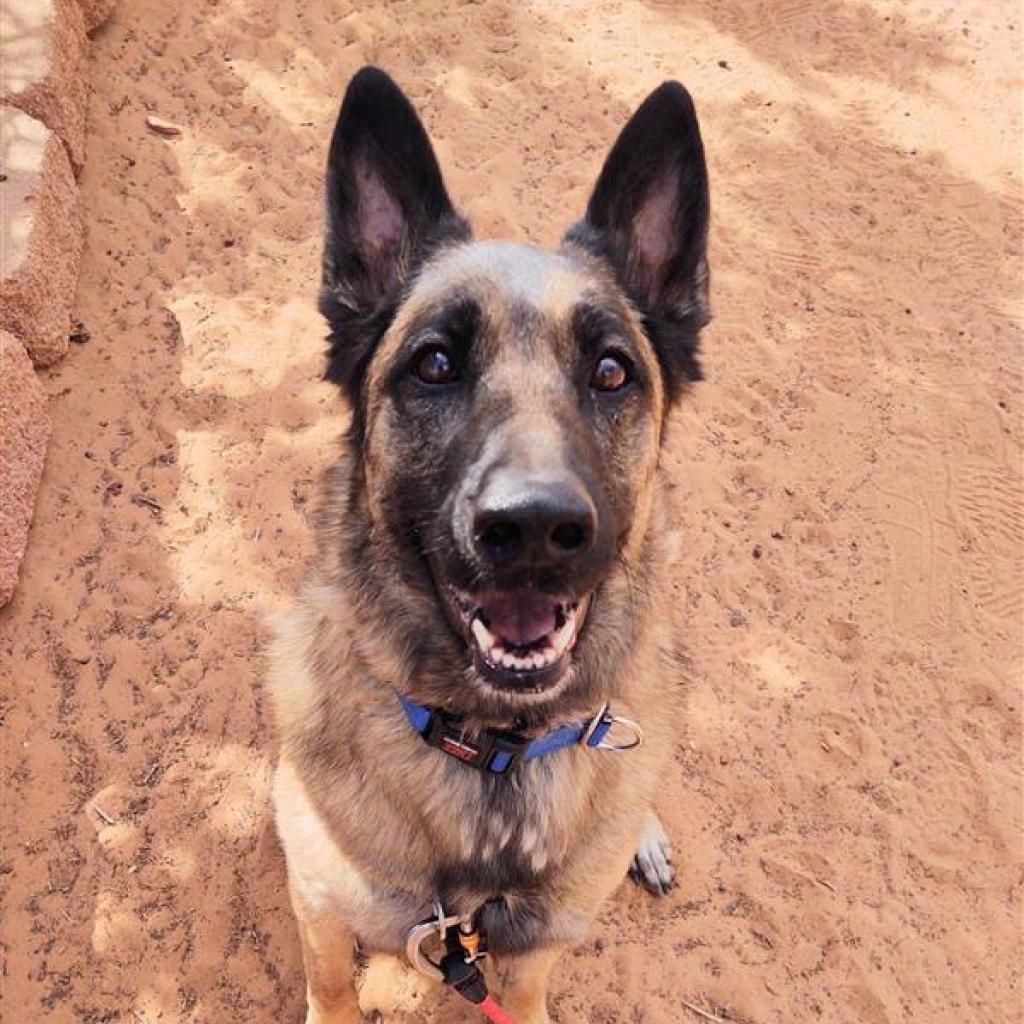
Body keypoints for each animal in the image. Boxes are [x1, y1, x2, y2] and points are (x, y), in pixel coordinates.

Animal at [268, 66, 708, 1024]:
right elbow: (331, 985)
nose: (535, 527)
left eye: (611, 371)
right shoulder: (319, 905)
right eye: (434, 364)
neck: (494, 753)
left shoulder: (538, 946)